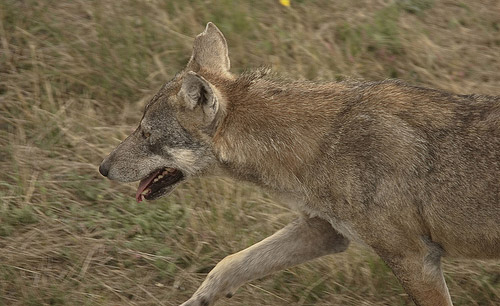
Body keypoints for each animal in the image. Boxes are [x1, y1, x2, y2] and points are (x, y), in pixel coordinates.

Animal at [99, 22, 500, 306]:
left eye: (146, 134)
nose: (102, 168)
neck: (319, 145)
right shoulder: (324, 231)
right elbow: (228, 264)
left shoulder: (415, 259)